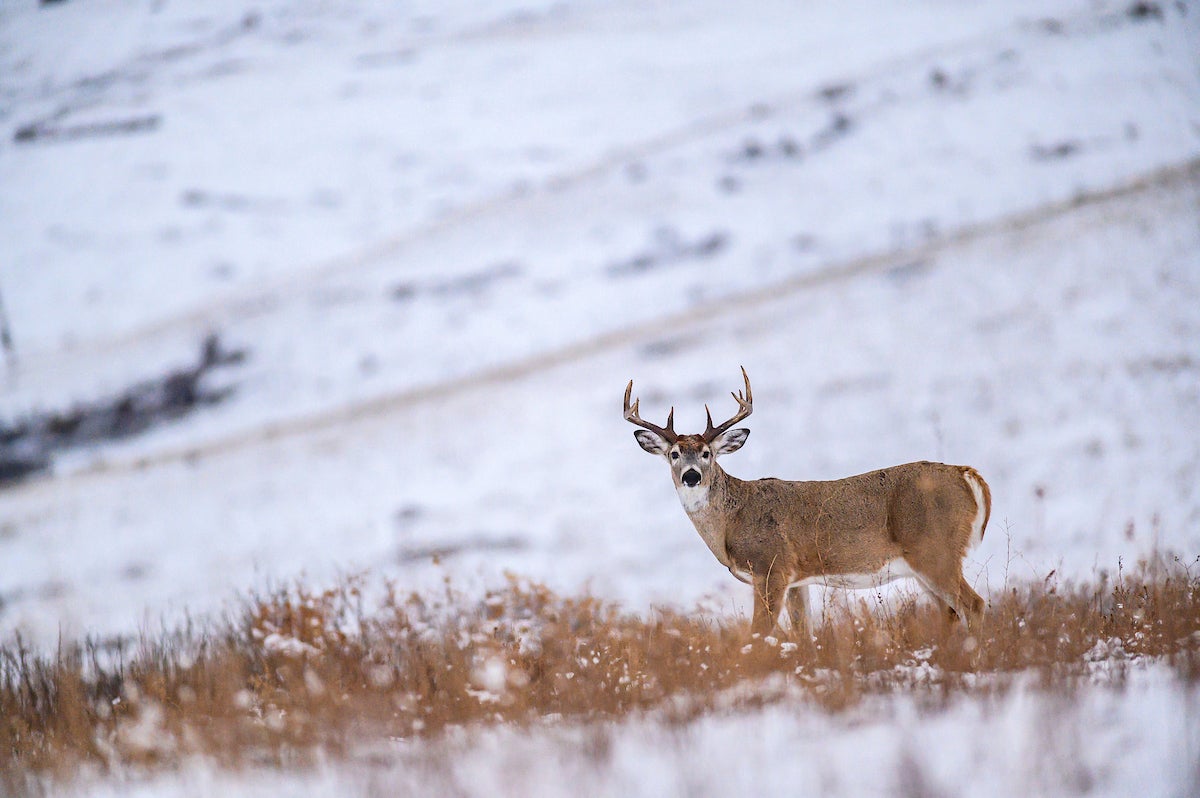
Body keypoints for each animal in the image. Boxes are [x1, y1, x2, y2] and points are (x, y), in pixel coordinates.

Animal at [624, 367, 988, 633]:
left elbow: (758, 635)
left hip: (935, 550)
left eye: (706, 453)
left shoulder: (771, 567)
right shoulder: (797, 579)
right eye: (673, 454)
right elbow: (804, 636)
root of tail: (966, 475)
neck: (731, 523)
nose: (691, 476)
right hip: (922, 566)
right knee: (951, 612)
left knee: (974, 605)